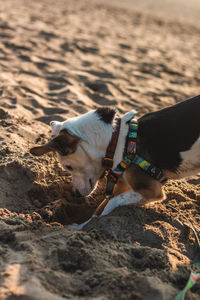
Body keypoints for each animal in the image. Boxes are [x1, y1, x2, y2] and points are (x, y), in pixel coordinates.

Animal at [30, 95, 200, 217]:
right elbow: (100, 208)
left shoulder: (152, 190)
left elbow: (108, 207)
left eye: (68, 167)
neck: (117, 140)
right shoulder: (123, 183)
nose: (76, 194)